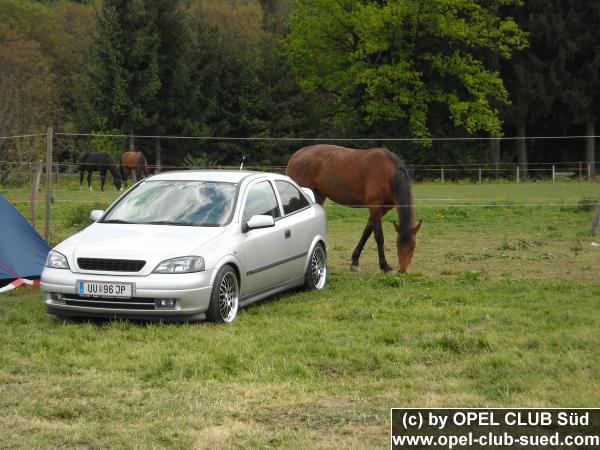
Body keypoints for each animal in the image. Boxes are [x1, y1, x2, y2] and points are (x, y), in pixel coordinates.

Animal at [288, 144, 422, 272]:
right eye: (398, 245)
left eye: (413, 246)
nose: (403, 270)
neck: (388, 173)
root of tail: (296, 156)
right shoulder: (375, 206)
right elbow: (379, 236)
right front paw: (384, 265)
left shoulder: (382, 209)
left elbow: (367, 232)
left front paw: (355, 261)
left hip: (318, 195)